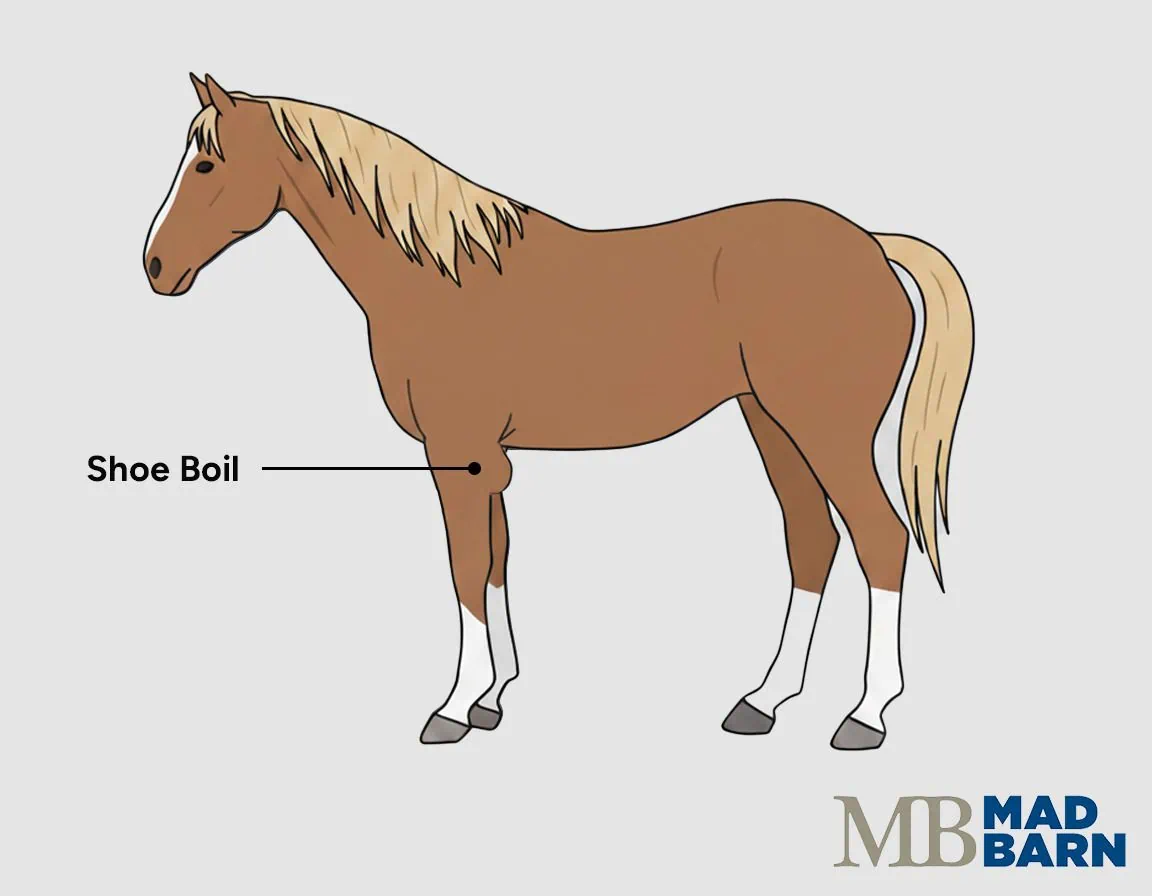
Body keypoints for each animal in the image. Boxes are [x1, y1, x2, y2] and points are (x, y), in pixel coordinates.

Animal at [143, 74, 973, 748]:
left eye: (207, 162)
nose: (154, 266)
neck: (439, 276)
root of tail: (870, 244)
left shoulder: (453, 453)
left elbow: (465, 569)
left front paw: (452, 709)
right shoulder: (486, 459)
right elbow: (497, 562)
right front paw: (492, 699)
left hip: (826, 430)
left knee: (879, 539)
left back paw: (865, 715)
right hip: (772, 425)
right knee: (812, 541)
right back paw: (763, 701)